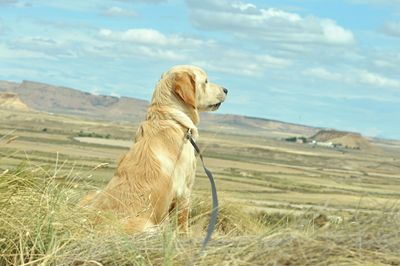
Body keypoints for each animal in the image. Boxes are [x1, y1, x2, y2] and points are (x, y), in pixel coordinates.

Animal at [83, 65, 228, 233]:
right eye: (206, 81)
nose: (226, 90)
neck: (171, 119)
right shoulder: (184, 192)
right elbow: (183, 224)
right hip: (149, 228)